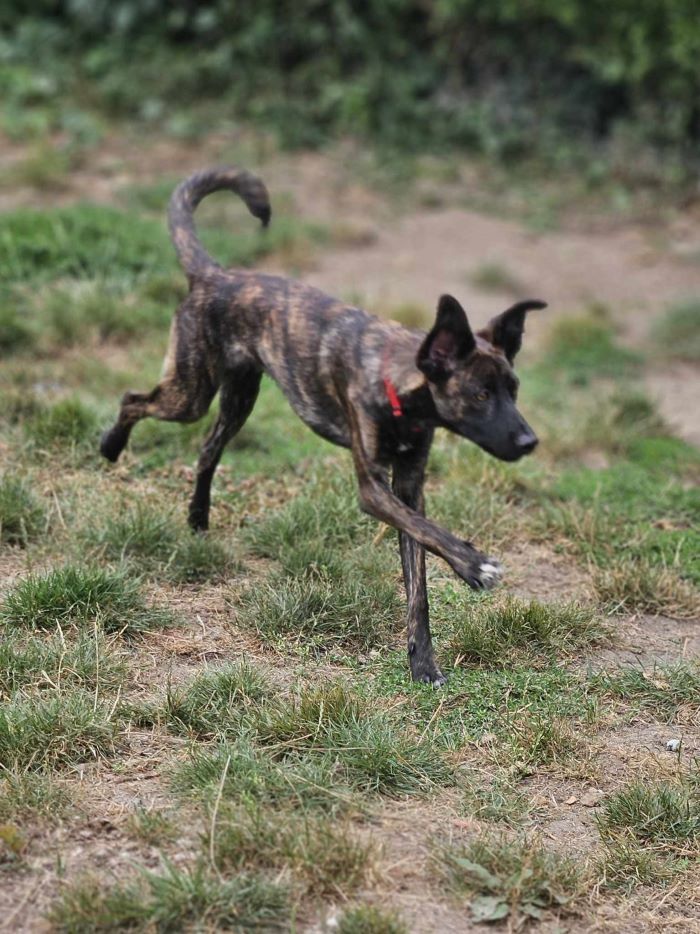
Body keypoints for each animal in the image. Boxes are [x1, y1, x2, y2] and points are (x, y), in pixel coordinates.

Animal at [101, 166, 544, 688]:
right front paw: (474, 565)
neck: (396, 381)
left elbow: (419, 572)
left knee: (207, 449)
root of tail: (215, 274)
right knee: (134, 401)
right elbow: (430, 531)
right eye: (480, 395)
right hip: (189, 394)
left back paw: (197, 519)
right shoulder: (374, 489)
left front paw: (423, 664)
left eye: (513, 389)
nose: (530, 441)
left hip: (238, 399)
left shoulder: (408, 486)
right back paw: (110, 447)